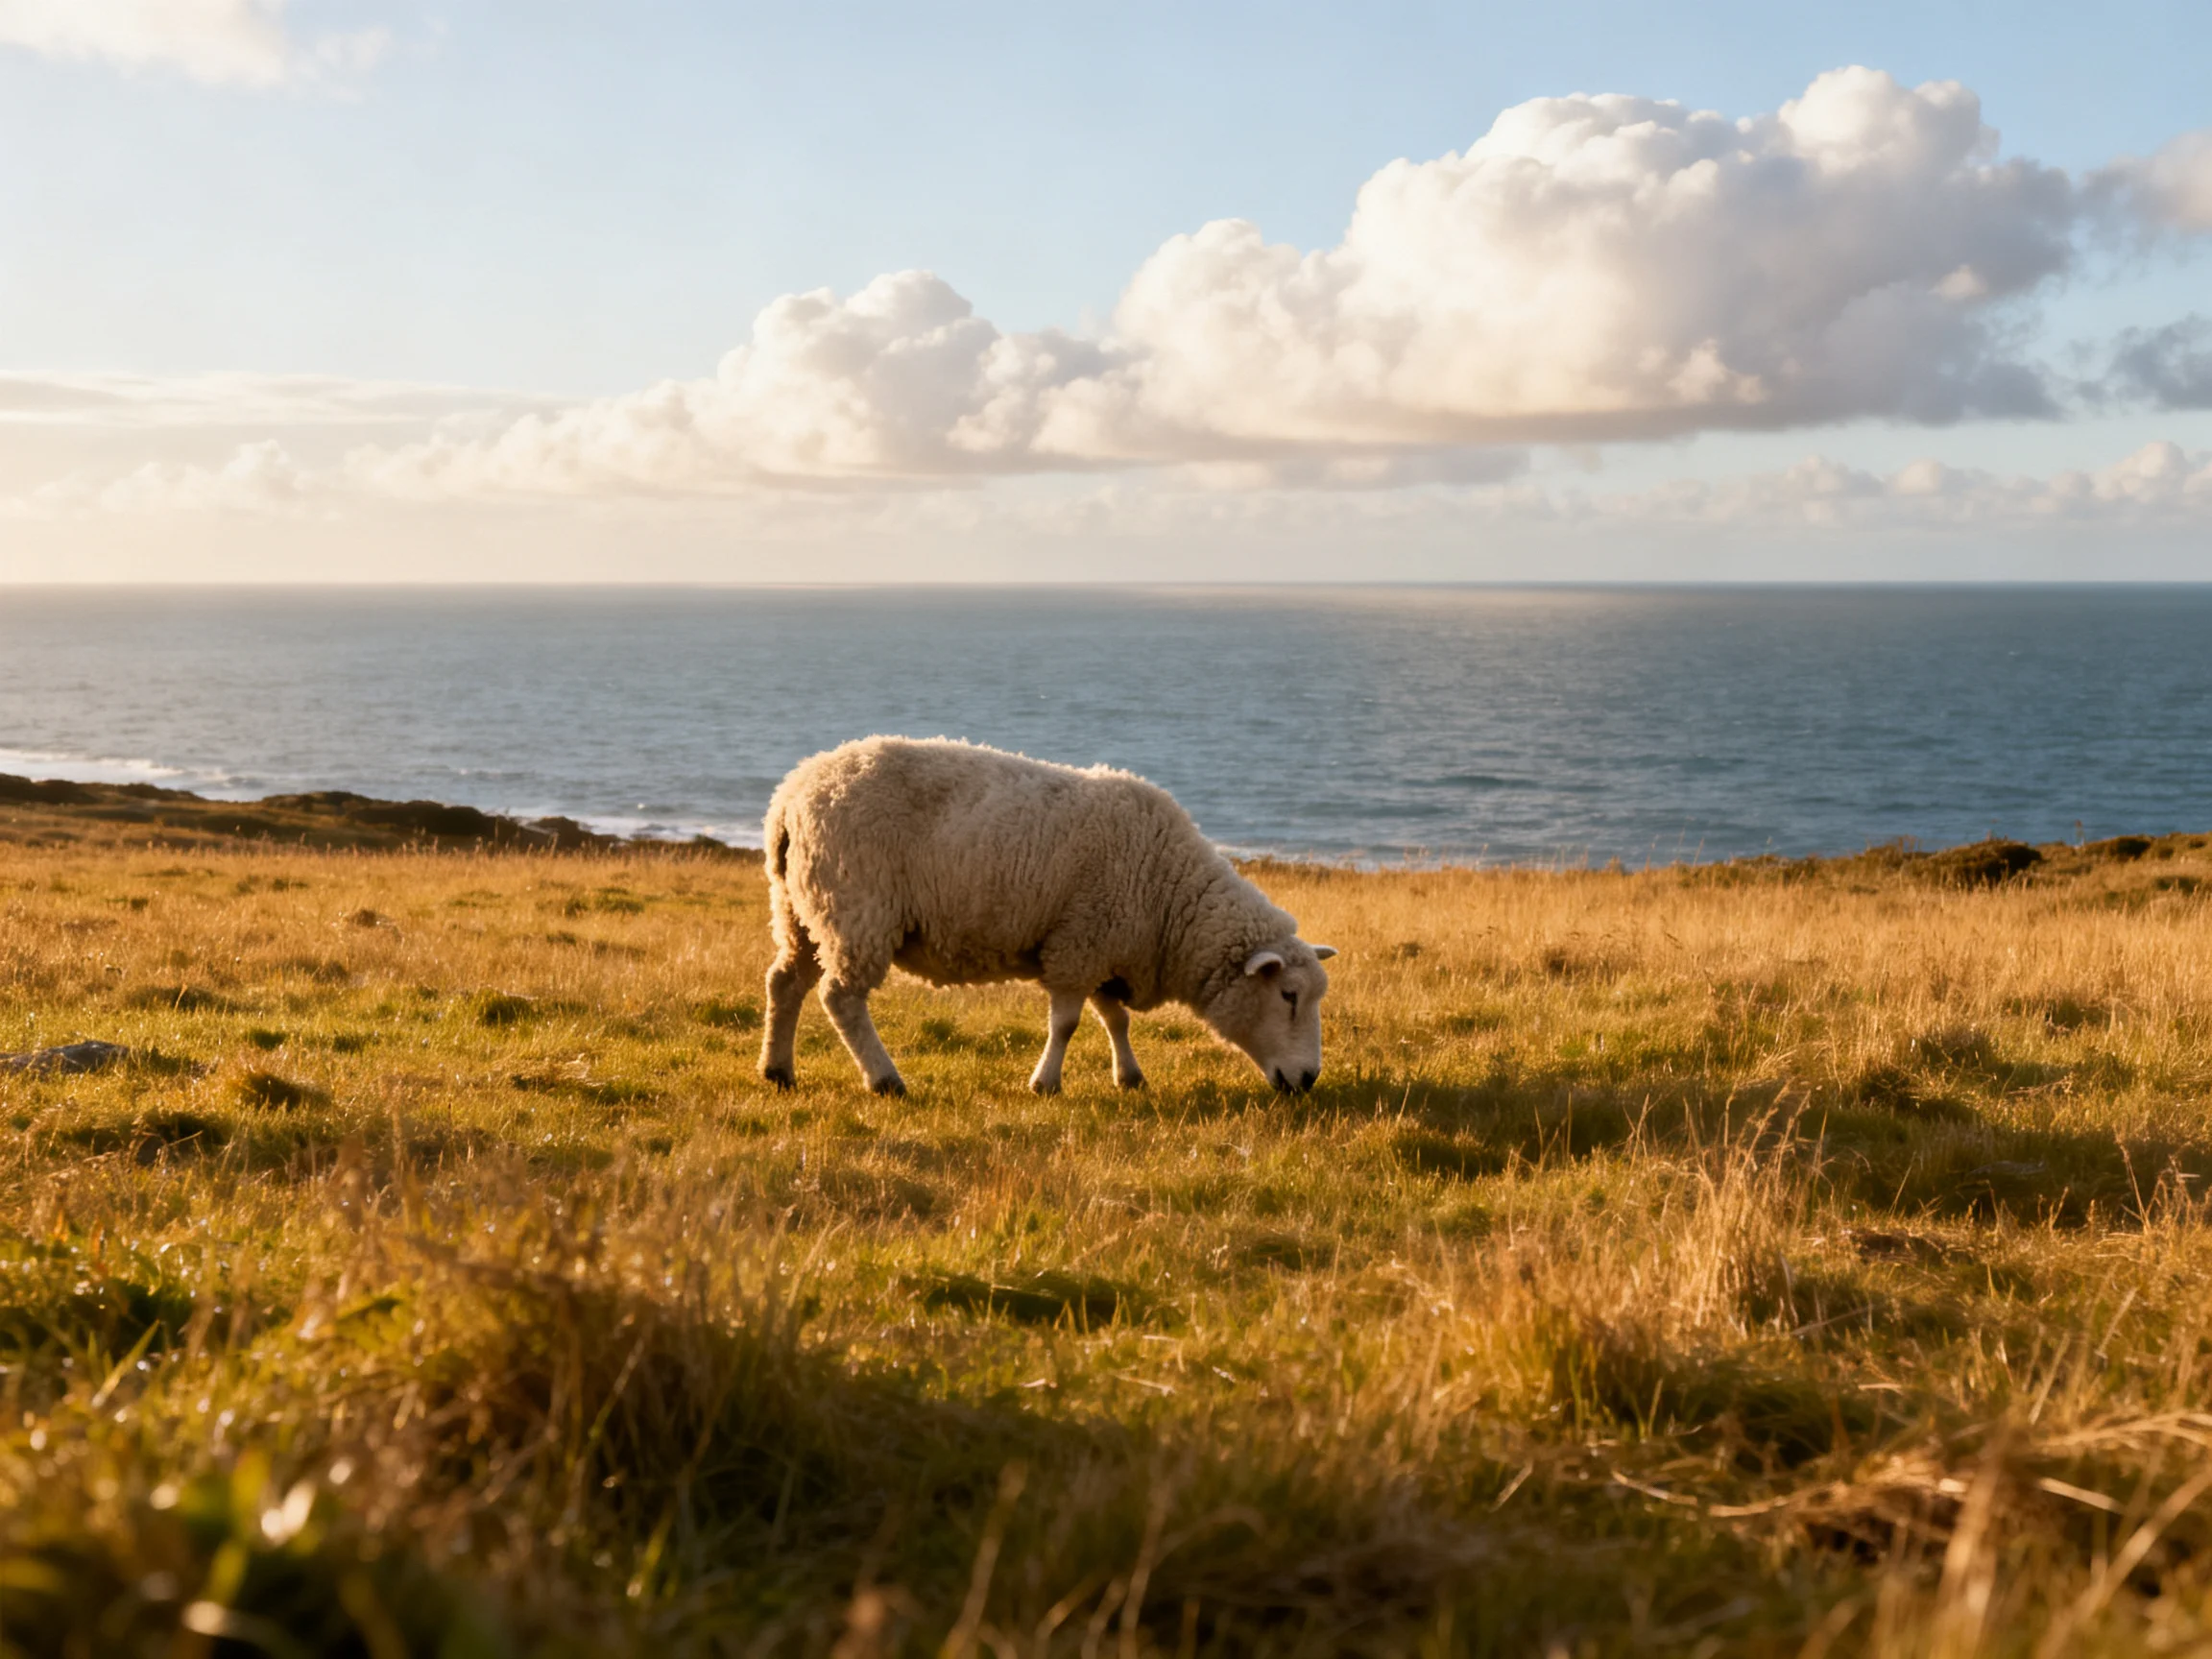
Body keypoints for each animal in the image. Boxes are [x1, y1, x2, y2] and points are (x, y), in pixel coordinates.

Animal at [757, 737, 1336, 1097]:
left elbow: (1114, 1018)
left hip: (800, 909)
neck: (1171, 896)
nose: (1309, 1079)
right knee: (841, 999)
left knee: (785, 982)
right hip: (855, 909)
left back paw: (778, 1070)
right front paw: (1046, 1083)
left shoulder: (1101, 944)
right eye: (1288, 996)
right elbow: (1068, 1023)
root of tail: (792, 794)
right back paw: (885, 1080)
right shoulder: (1078, 944)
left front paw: (1130, 1077)